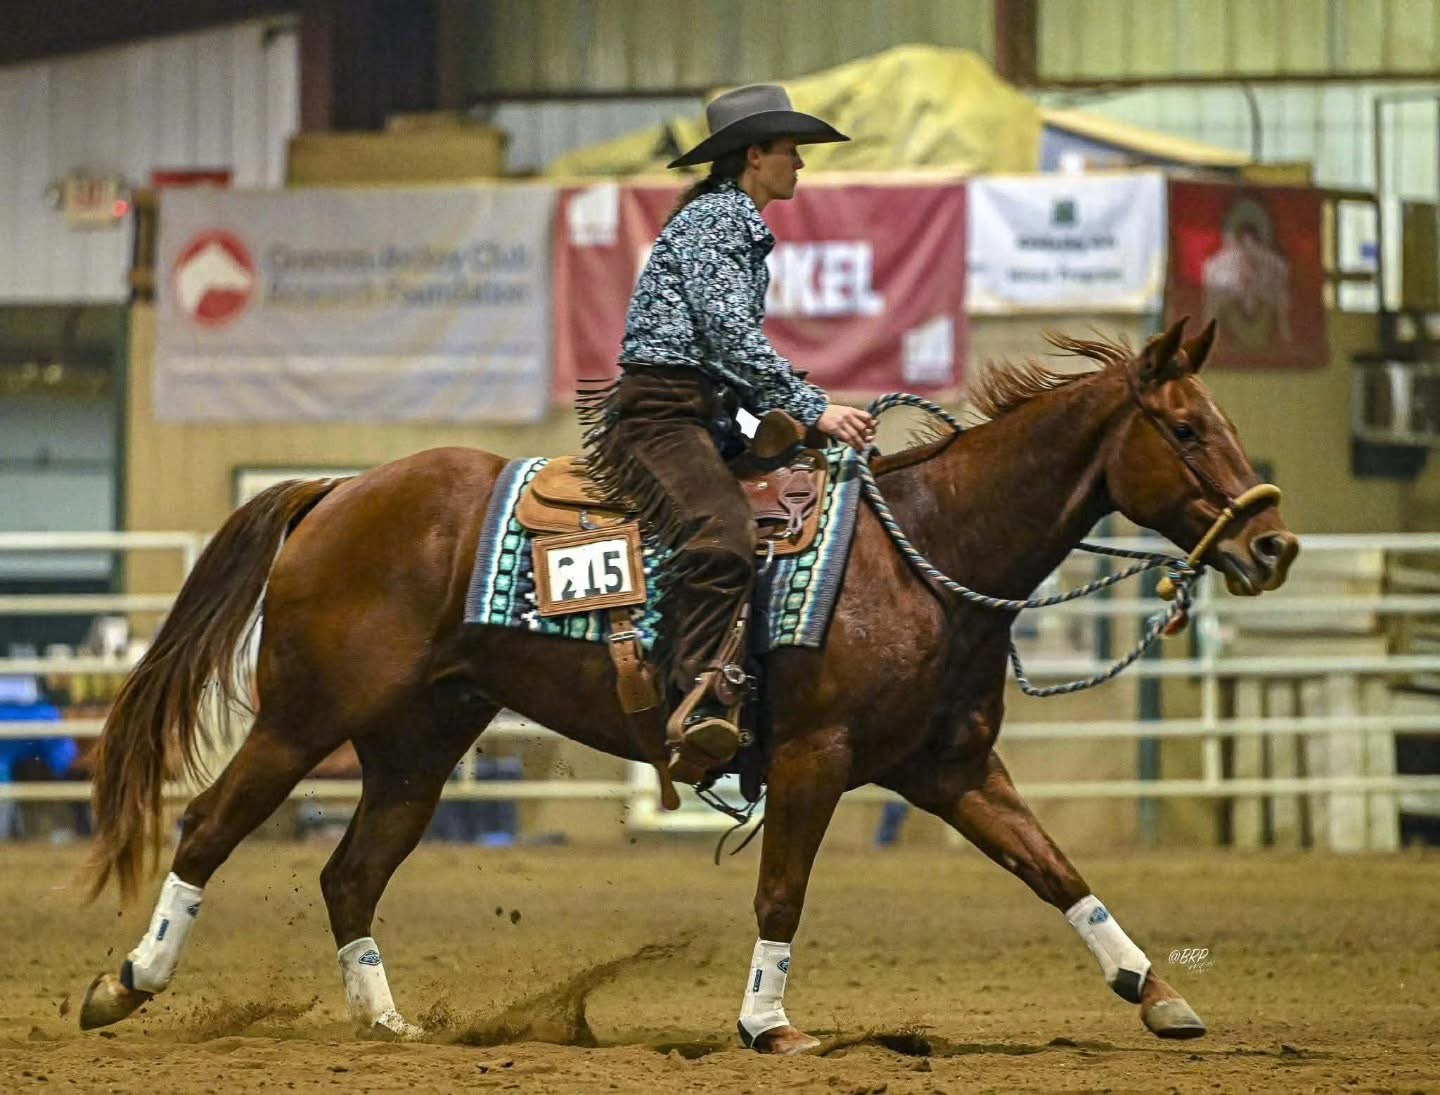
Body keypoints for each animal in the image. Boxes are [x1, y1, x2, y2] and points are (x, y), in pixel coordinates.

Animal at [78, 317, 1297, 1053]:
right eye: (1184, 429)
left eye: (1229, 424)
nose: (1274, 545)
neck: (924, 552)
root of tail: (338, 488)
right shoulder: (814, 758)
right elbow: (782, 892)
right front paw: (769, 1025)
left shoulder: (951, 769)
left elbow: (1057, 872)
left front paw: (1158, 993)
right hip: (301, 719)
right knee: (207, 827)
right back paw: (123, 984)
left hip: (420, 743)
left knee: (349, 873)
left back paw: (388, 1027)